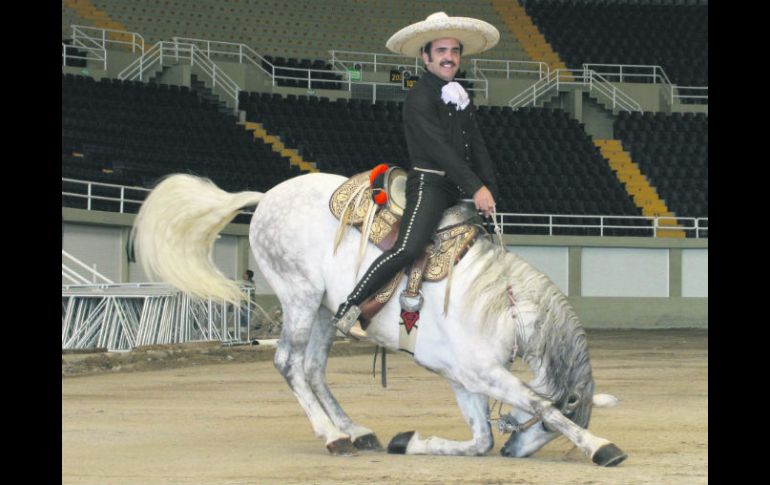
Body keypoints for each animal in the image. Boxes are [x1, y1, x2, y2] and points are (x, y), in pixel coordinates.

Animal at [130, 171, 624, 466]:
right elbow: (537, 402)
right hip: (300, 297)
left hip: (326, 310)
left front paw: (411, 441)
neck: (499, 304)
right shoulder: (481, 373)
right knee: (289, 363)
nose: (513, 452)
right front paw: (600, 447)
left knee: (313, 368)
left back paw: (355, 430)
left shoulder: (463, 376)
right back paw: (332, 435)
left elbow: (479, 438)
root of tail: (268, 195)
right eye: (563, 421)